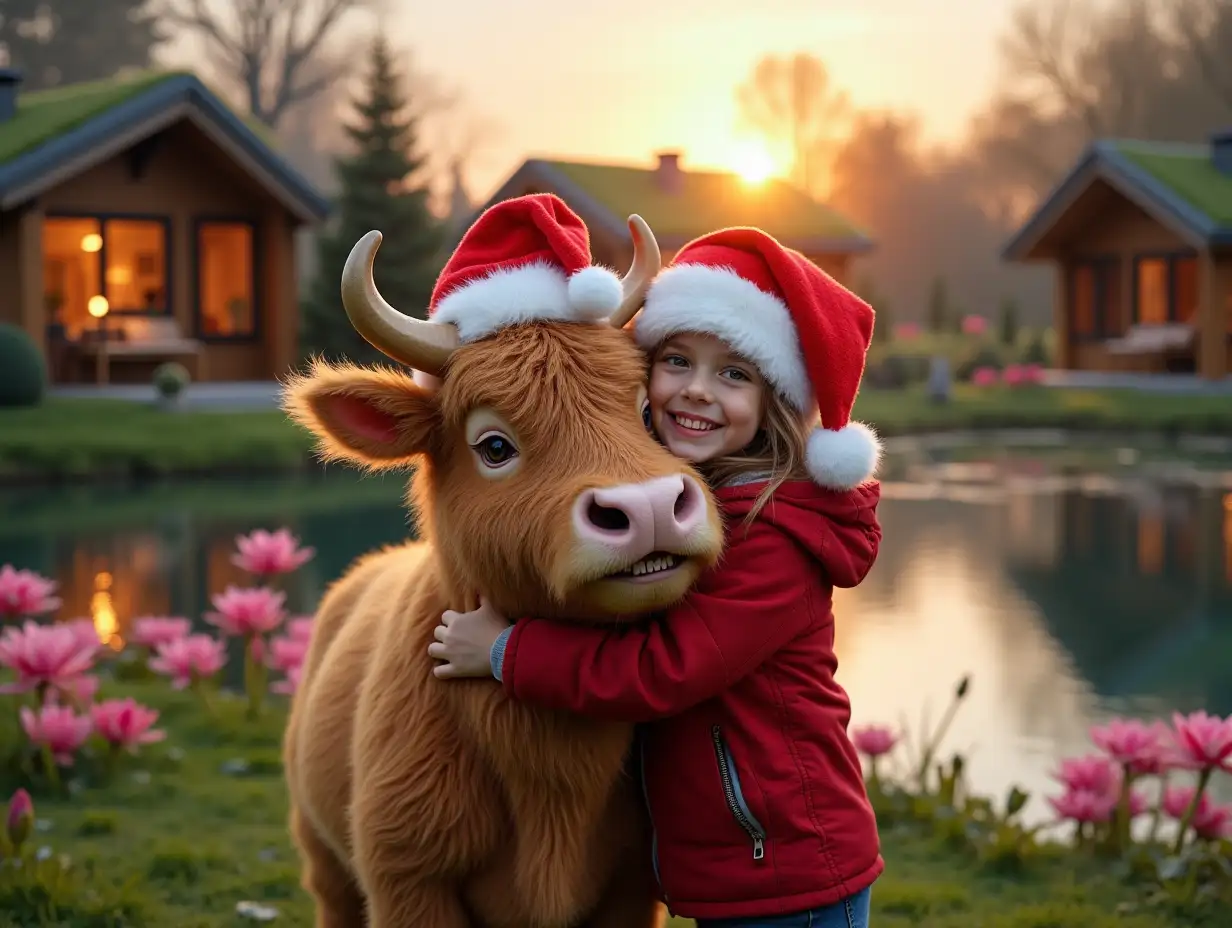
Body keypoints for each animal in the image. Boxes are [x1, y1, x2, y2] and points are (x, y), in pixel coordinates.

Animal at [282, 209, 719, 926]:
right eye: (493, 446)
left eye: (646, 411)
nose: (650, 507)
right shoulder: (408, 881)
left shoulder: (630, 887)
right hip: (323, 858)